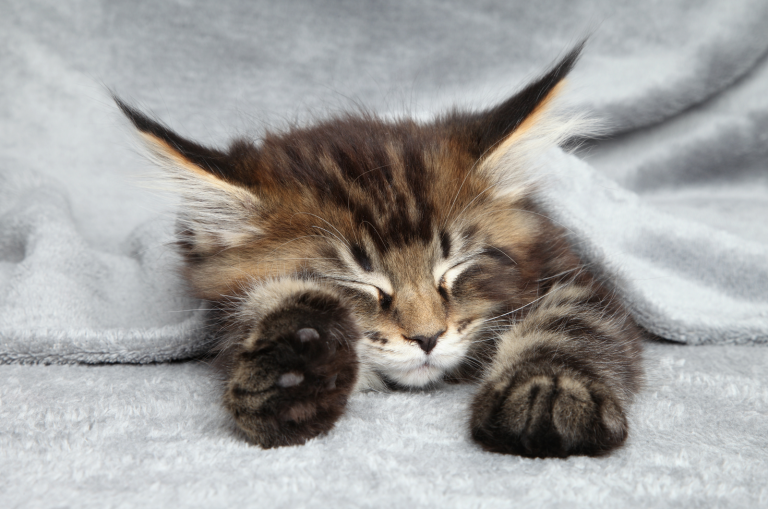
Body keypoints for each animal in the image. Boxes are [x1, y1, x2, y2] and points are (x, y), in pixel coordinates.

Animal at [117, 44, 644, 456]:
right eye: (359, 282)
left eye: (454, 268)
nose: (428, 337)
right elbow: (257, 303)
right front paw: (293, 373)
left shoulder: (568, 270)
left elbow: (571, 322)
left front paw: (547, 392)